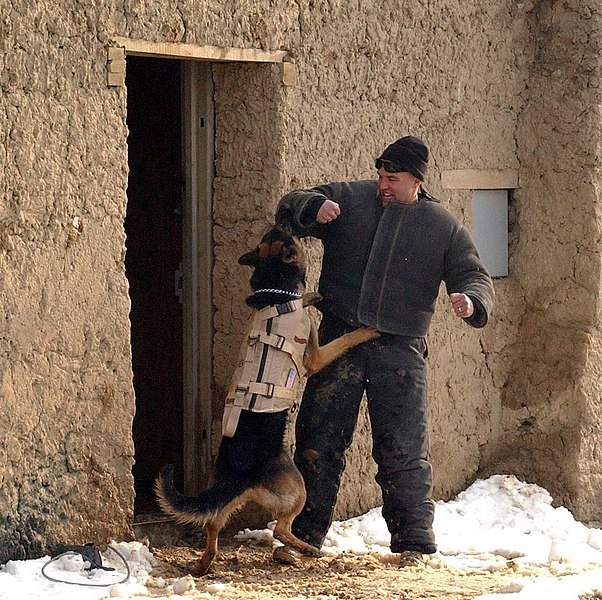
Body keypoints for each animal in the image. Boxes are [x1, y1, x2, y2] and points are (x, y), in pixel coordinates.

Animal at [156, 213, 380, 576]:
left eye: (270, 234)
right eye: (282, 234)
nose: (285, 216)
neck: (275, 292)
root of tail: (240, 474)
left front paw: (313, 296)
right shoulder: (314, 356)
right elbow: (343, 341)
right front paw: (366, 330)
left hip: (225, 500)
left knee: (212, 523)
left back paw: (204, 563)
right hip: (297, 489)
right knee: (280, 529)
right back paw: (307, 549)